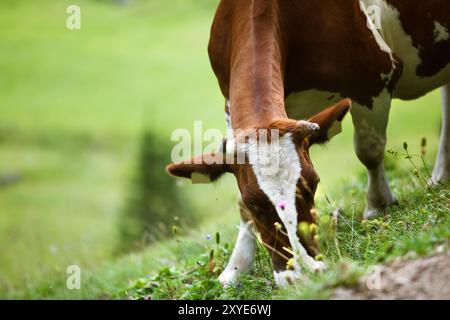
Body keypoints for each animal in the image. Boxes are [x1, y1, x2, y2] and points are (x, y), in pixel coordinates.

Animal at [167, 0, 450, 286]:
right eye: (253, 202)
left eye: (313, 185)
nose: (303, 273)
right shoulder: (231, 109)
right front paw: (236, 266)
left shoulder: (374, 80)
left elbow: (369, 150)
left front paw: (377, 204)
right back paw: (440, 176)